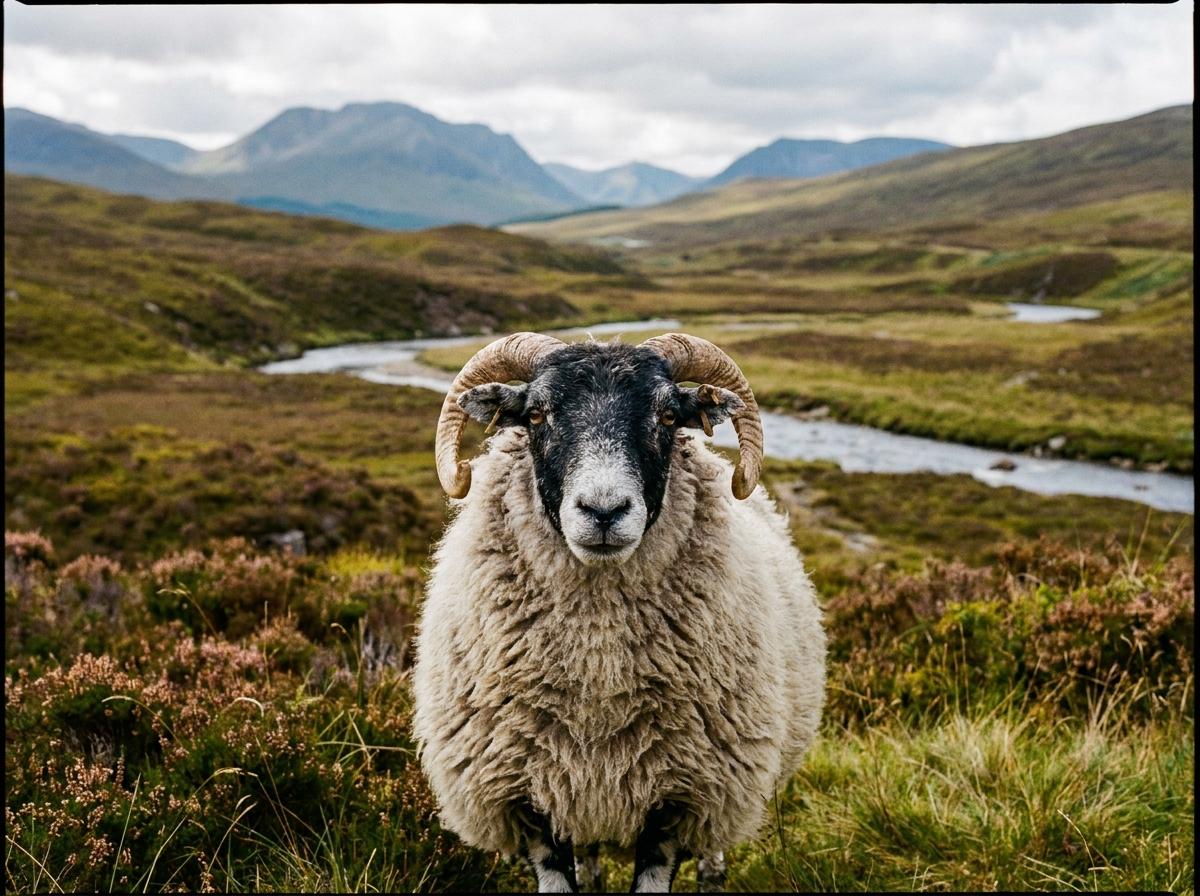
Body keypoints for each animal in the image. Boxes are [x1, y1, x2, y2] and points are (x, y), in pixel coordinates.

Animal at [412, 332, 826, 893]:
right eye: (535, 414)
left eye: (669, 416)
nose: (604, 511)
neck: (599, 659)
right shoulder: (530, 797)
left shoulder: (679, 797)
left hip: (728, 787)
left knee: (713, 848)